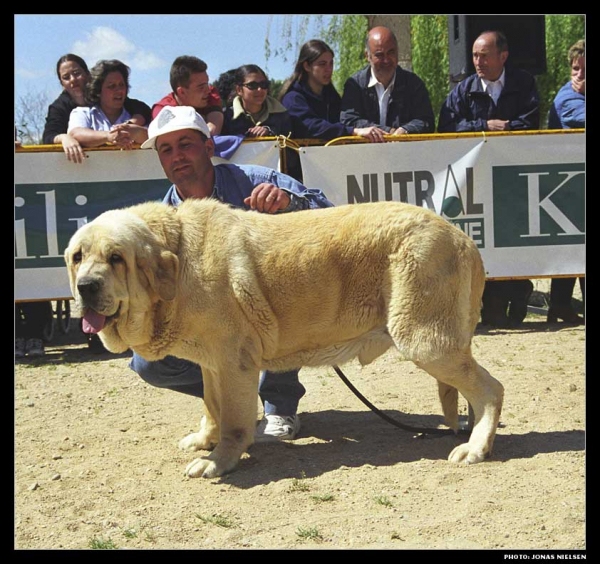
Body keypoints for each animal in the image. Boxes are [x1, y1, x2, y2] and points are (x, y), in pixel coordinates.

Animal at [65, 198, 504, 476]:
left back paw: (476, 447)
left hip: (425, 341)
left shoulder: (235, 363)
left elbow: (235, 422)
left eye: (116, 258)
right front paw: (206, 440)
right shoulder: (212, 365)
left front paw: (219, 461)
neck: (179, 258)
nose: (85, 286)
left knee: (491, 390)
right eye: (77, 257)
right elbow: (212, 408)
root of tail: (463, 237)